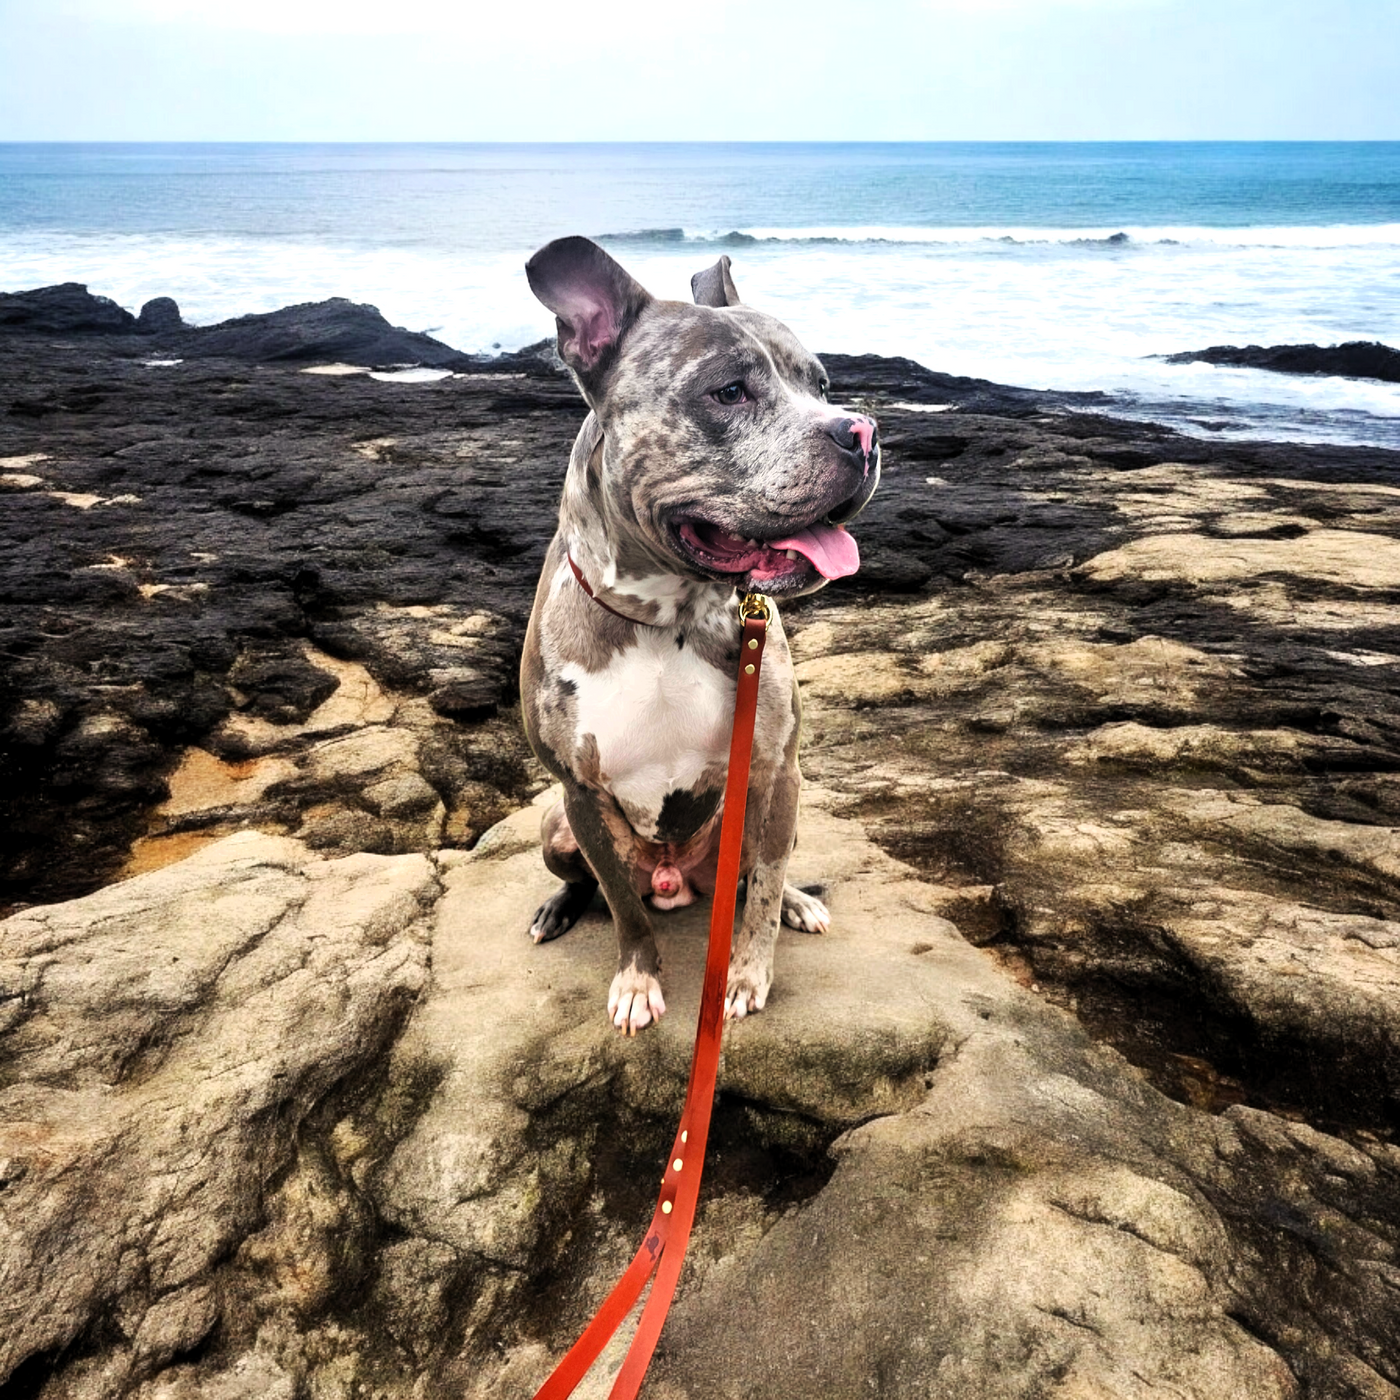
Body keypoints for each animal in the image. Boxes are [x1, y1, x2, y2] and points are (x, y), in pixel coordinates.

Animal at [520, 235, 879, 1036]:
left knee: (756, 880)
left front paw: (745, 975)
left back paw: (799, 903)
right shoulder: (580, 794)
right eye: (729, 392)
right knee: (599, 886)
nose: (862, 432)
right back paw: (559, 908)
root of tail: (675, 879)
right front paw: (637, 980)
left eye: (821, 383)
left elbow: (764, 893)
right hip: (555, 827)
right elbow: (624, 911)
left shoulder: (775, 771)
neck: (669, 616)